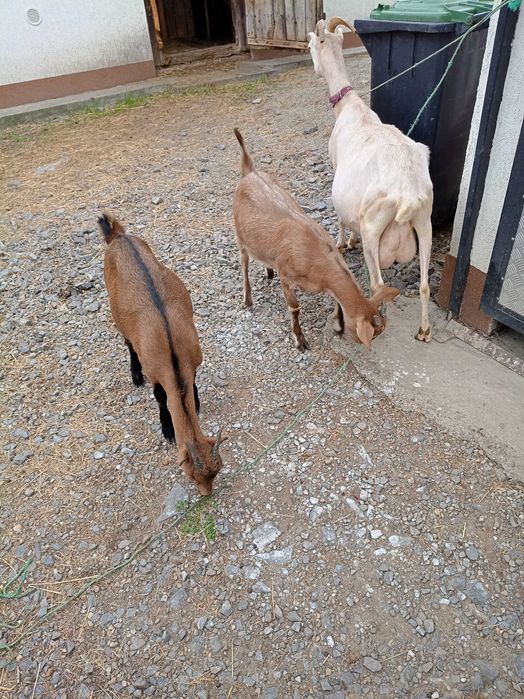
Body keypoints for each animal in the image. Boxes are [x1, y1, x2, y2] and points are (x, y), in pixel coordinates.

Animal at [98, 214, 225, 495]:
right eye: (192, 477)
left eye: (216, 471)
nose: (207, 494)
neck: (172, 353)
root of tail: (118, 236)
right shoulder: (156, 371)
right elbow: (159, 397)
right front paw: (167, 428)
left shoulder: (192, 360)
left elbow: (194, 384)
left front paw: (196, 404)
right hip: (116, 312)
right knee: (128, 343)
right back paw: (135, 375)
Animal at [232, 129, 399, 351]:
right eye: (366, 334)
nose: (365, 344)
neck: (316, 260)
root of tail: (248, 173)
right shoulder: (286, 276)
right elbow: (294, 308)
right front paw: (300, 340)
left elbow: (336, 300)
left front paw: (337, 325)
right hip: (240, 235)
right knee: (244, 263)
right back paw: (248, 300)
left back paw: (268, 271)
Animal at [308, 17, 434, 342]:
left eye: (312, 44)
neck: (351, 107)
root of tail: (408, 193)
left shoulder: (336, 168)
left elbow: (340, 216)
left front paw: (343, 242)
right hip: (424, 221)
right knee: (425, 284)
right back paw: (424, 331)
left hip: (373, 228)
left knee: (378, 285)